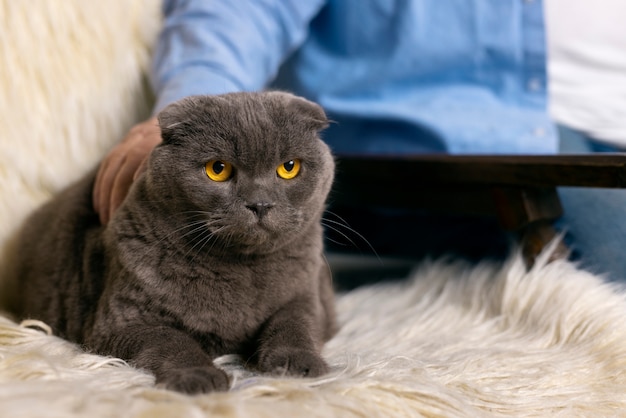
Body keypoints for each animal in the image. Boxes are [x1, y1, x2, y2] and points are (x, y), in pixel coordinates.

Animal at [6, 92, 336, 396]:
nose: (260, 204)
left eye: (289, 167)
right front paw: (197, 377)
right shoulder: (122, 322)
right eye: (218, 169)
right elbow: (171, 340)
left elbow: (295, 323)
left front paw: (297, 364)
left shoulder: (308, 296)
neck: (243, 268)